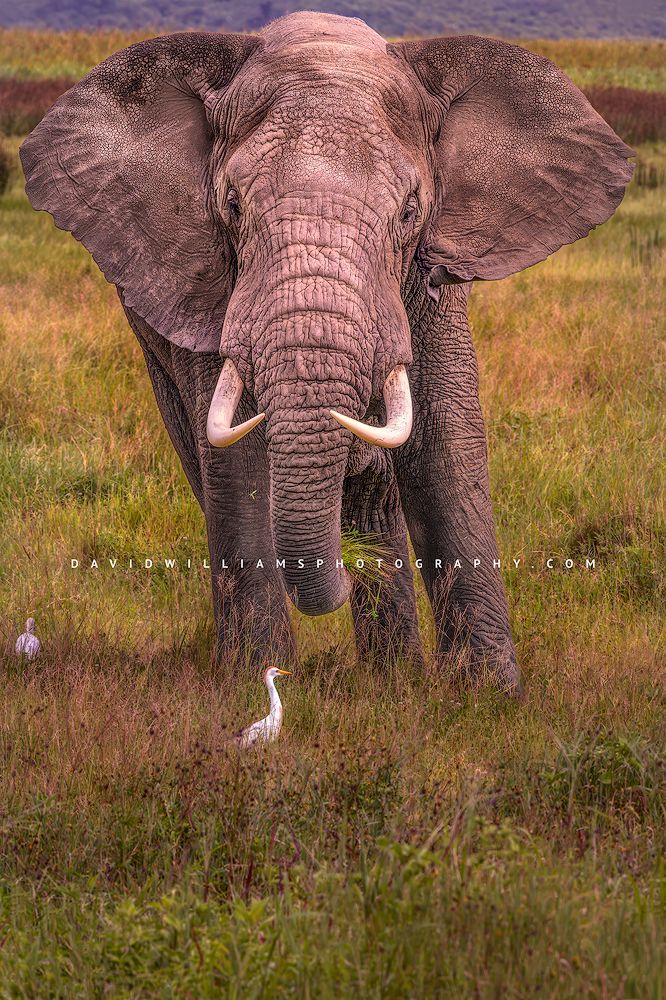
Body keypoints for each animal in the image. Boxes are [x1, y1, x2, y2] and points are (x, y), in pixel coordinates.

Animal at [20, 12, 633, 692]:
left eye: (411, 210)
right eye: (231, 206)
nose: (345, 567)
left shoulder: (431, 278)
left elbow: (444, 442)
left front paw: (488, 698)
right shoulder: (210, 280)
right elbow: (237, 458)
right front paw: (253, 685)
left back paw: (391, 676)